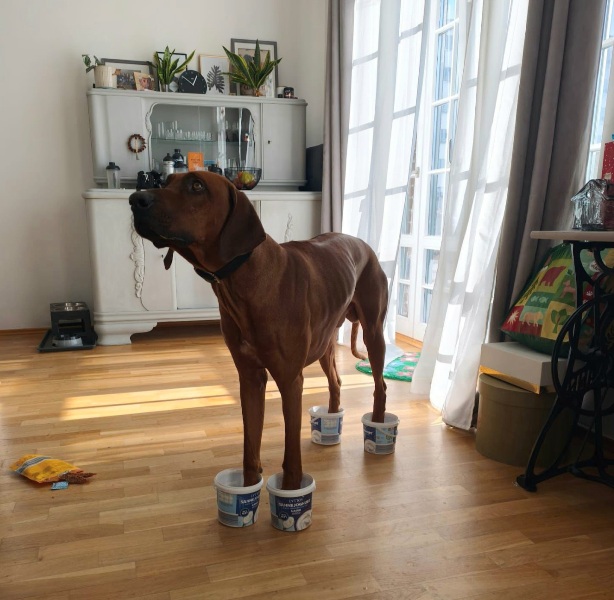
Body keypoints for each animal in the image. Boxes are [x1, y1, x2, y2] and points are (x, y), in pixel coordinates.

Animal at [129, 171, 388, 489]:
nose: (135, 199)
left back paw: (378, 427)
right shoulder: (250, 378)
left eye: (197, 186)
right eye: (165, 181)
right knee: (336, 382)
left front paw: (290, 487)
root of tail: (362, 244)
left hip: (373, 332)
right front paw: (248, 484)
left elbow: (291, 457)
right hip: (326, 341)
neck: (242, 280)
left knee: (380, 385)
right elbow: (249, 446)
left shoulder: (290, 380)